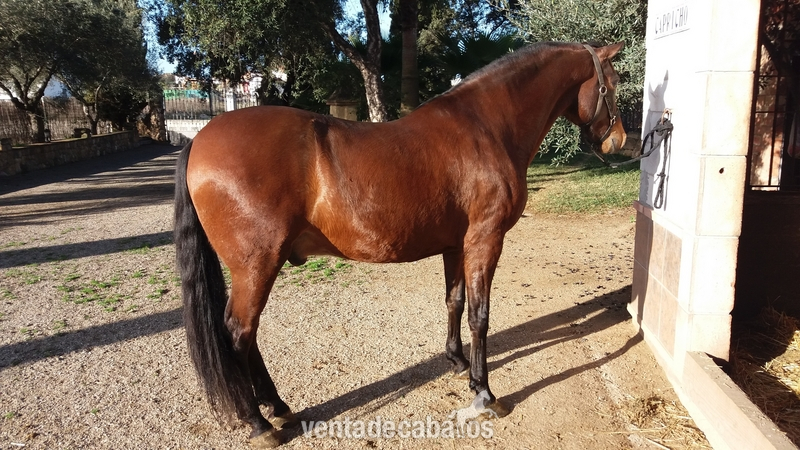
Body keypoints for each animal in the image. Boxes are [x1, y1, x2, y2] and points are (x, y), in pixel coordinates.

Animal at [174, 41, 626, 448]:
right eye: (612, 84)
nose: (619, 140)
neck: (487, 127)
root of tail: (198, 140)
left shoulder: (455, 245)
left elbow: (454, 302)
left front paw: (457, 362)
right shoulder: (485, 239)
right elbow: (479, 315)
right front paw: (484, 393)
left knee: (248, 335)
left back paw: (278, 407)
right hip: (257, 264)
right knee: (239, 332)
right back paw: (259, 422)